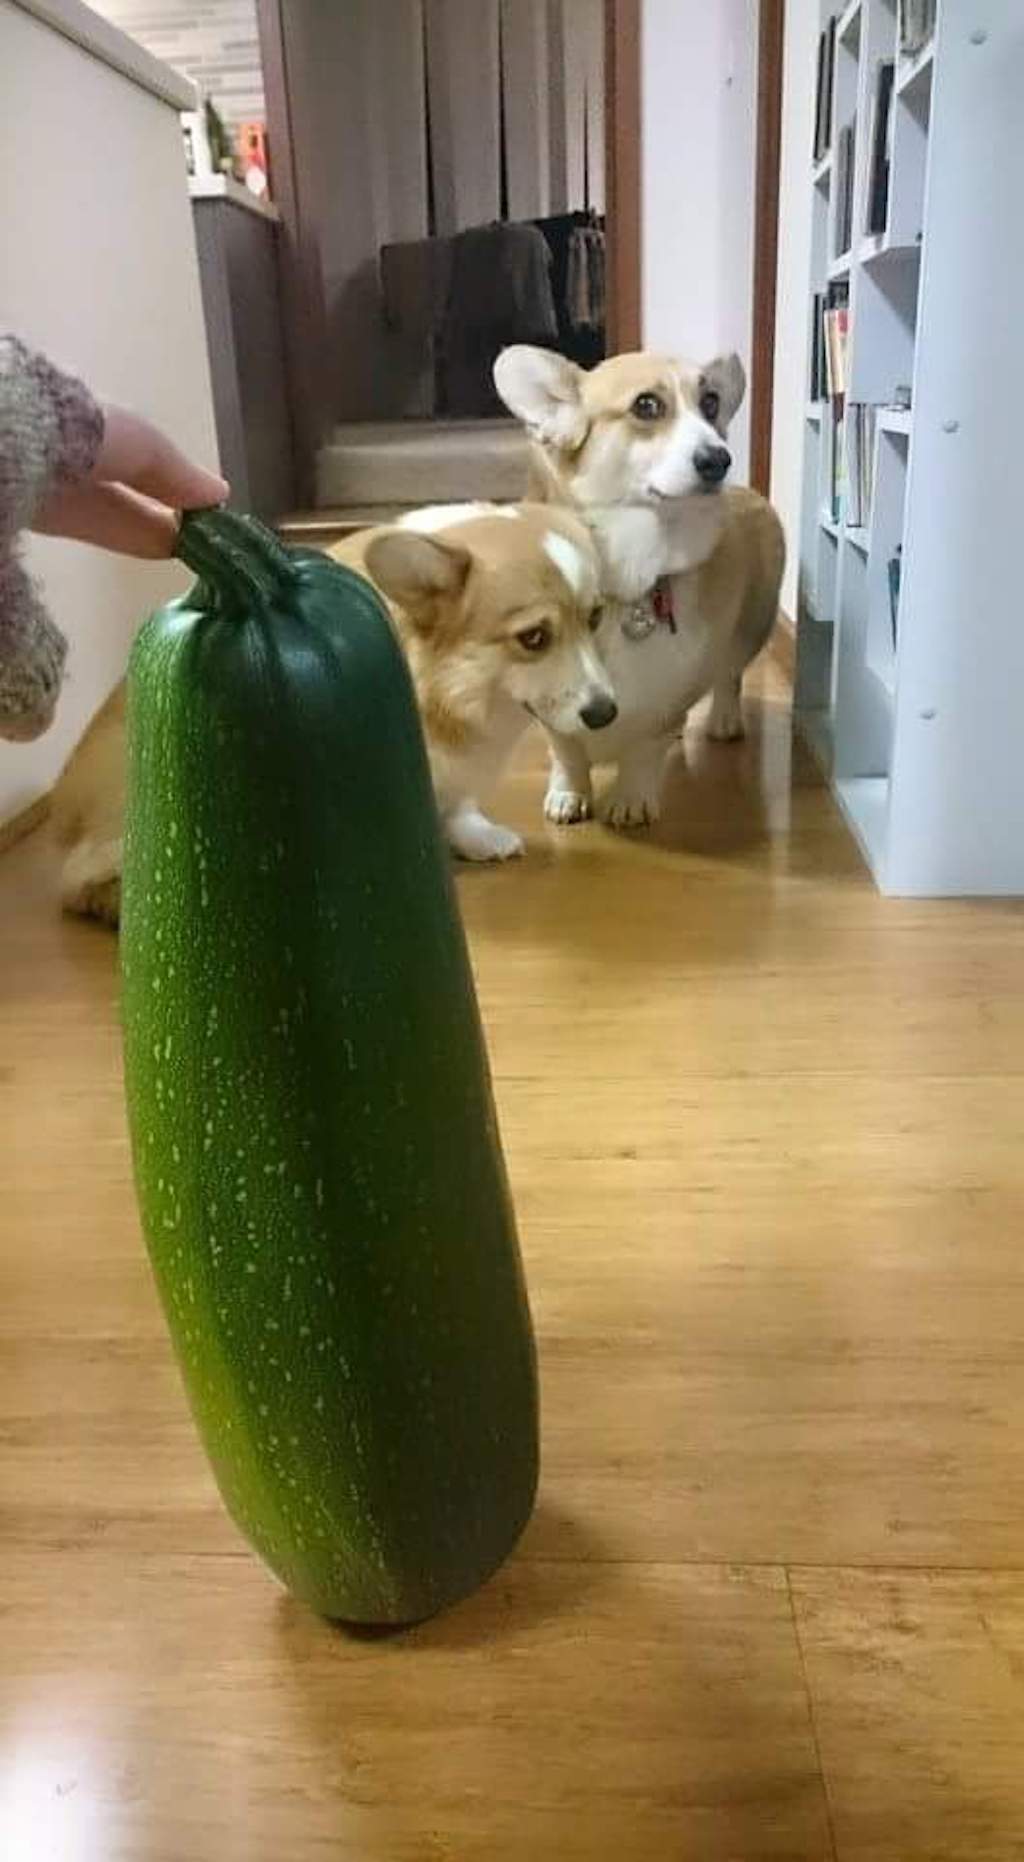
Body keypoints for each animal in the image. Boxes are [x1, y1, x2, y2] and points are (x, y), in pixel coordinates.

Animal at [52, 502, 614, 923]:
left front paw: (476, 836)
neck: (445, 685)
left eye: (595, 618)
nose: (606, 713)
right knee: (91, 885)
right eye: (534, 638)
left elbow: (457, 805)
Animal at [495, 346, 789, 826]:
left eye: (710, 402)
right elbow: (567, 750)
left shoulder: (668, 693)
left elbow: (645, 747)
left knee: (730, 674)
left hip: (751, 628)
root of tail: (749, 491)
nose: (720, 459)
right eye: (646, 405)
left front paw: (631, 799)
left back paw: (724, 719)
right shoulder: (545, 705)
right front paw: (568, 794)